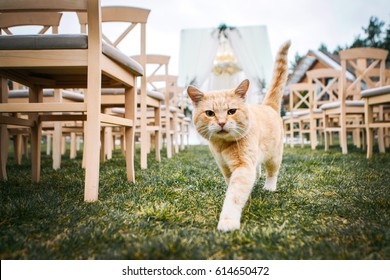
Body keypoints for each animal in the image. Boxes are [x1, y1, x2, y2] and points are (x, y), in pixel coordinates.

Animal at [187, 40, 290, 231]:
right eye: (210, 113)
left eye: (231, 111)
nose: (221, 123)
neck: (222, 146)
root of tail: (268, 105)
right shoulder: (225, 167)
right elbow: (231, 185)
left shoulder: (243, 167)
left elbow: (234, 195)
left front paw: (228, 221)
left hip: (274, 156)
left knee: (272, 172)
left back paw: (269, 187)